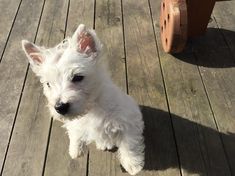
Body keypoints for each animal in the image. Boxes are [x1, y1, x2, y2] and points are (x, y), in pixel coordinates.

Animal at [22, 24, 144, 175]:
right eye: (48, 84)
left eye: (78, 77)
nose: (60, 107)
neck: (92, 109)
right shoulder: (74, 123)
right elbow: (75, 132)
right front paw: (76, 150)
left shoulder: (129, 123)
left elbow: (129, 145)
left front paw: (133, 165)